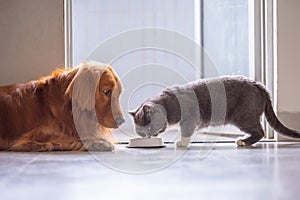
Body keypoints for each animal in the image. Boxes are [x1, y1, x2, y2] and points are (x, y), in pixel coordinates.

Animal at [129, 76, 300, 147]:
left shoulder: (190, 118)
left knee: (260, 131)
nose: (148, 136)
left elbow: (186, 131)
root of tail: (259, 86)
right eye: (141, 133)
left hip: (243, 116)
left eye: (148, 128)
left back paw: (243, 141)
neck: (167, 103)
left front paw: (182, 143)